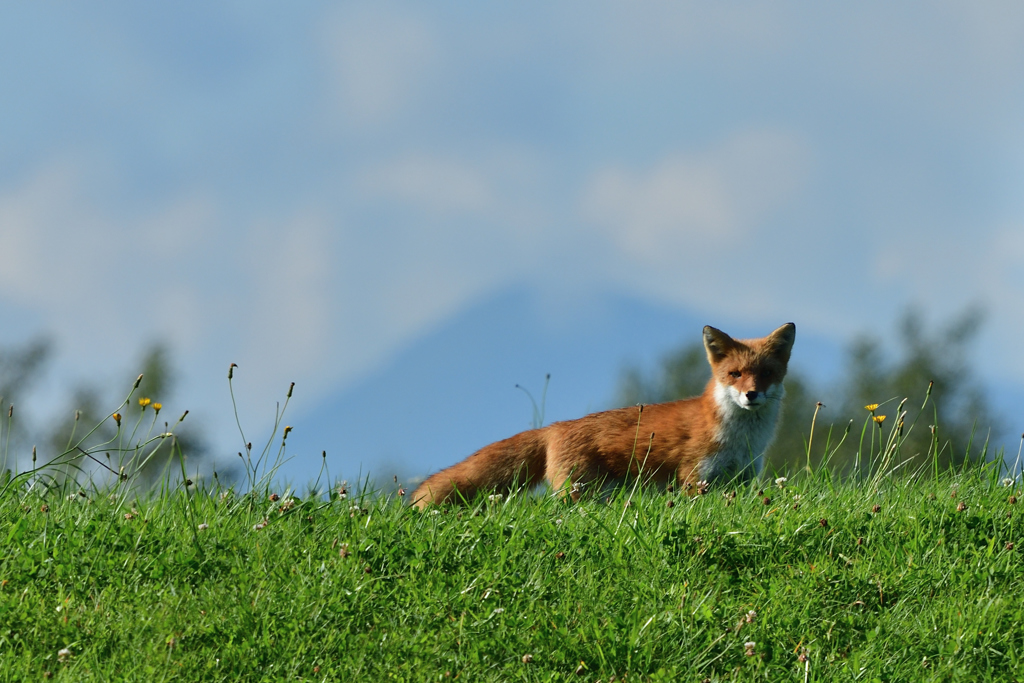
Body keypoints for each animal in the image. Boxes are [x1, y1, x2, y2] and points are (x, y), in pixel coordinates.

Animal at [411, 323, 794, 509]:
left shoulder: (741, 480)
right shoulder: (694, 479)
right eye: (735, 374)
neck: (741, 439)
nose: (751, 395)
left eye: (766, 374)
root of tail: (554, 427)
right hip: (579, 491)